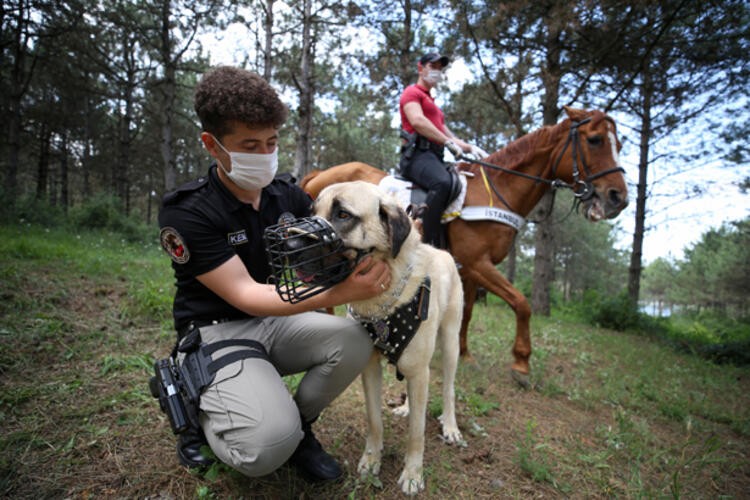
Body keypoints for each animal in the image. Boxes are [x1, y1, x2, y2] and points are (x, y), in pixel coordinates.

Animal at [300, 106, 628, 386]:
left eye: (620, 145)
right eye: (595, 140)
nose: (618, 198)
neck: (495, 192)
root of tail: (320, 173)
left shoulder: (468, 271)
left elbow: (467, 312)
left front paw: (465, 353)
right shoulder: (478, 263)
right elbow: (521, 303)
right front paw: (521, 364)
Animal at [312, 181, 464, 496]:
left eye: (343, 214)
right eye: (313, 210)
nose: (291, 242)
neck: (383, 301)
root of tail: (443, 252)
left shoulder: (419, 371)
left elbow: (417, 434)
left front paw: (413, 475)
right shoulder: (370, 368)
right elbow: (374, 421)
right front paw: (371, 461)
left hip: (451, 342)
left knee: (449, 389)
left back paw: (451, 426)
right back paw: (406, 407)